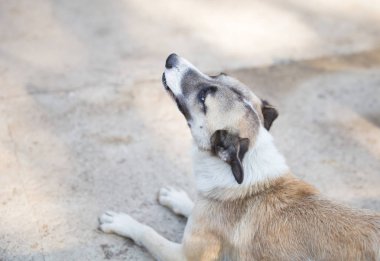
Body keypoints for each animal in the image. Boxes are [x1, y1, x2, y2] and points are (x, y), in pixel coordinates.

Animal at [98, 53, 380, 258]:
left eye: (203, 98)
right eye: (217, 75)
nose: (171, 57)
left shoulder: (185, 255)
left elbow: (148, 233)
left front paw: (122, 222)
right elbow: (191, 205)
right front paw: (176, 197)